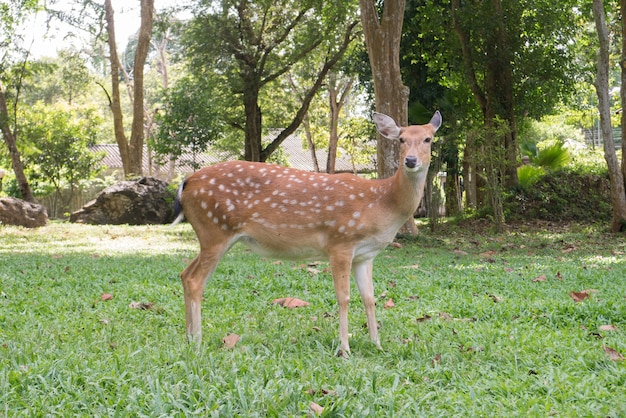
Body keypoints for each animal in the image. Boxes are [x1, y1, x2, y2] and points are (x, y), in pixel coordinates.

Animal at [173, 111, 442, 356]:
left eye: (428, 139)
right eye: (401, 139)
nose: (410, 160)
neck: (381, 202)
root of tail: (186, 183)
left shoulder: (365, 255)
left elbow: (369, 297)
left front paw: (377, 345)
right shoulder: (340, 241)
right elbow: (343, 297)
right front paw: (345, 349)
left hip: (212, 234)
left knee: (186, 274)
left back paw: (188, 338)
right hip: (215, 229)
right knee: (196, 280)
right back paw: (197, 342)